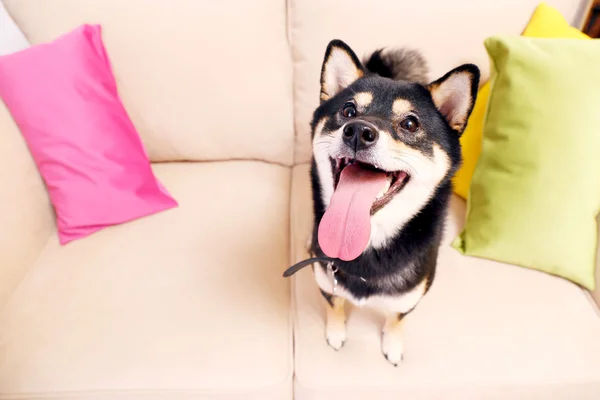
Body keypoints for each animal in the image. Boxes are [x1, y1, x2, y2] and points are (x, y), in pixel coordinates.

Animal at [308, 39, 480, 366]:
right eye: (348, 110)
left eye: (410, 123)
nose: (358, 131)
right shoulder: (324, 276)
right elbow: (335, 304)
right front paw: (336, 333)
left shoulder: (410, 296)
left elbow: (396, 318)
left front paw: (392, 345)